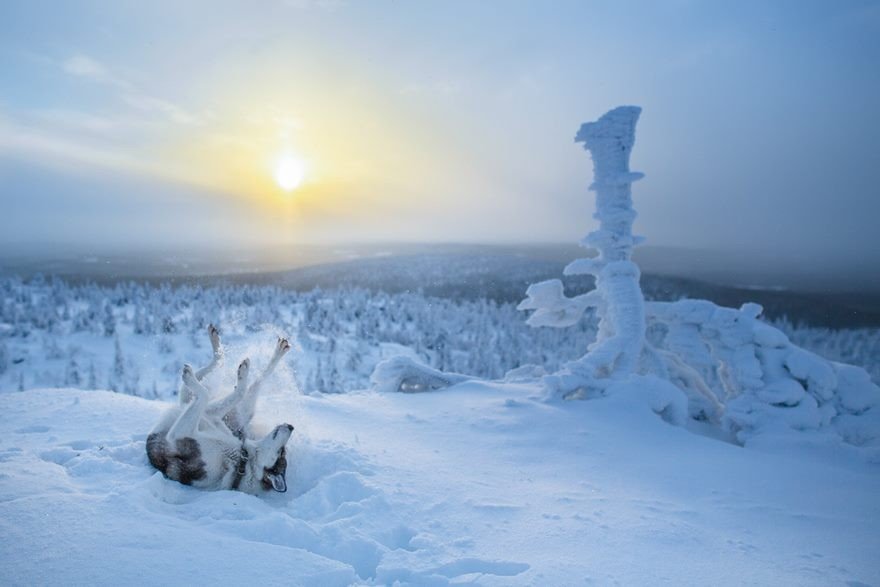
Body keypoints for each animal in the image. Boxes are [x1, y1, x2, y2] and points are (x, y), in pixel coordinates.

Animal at [146, 328, 294, 494]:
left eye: (281, 452)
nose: (291, 426)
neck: (240, 461)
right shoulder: (213, 419)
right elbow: (233, 393)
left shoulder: (179, 434)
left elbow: (205, 395)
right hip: (217, 410)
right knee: (240, 381)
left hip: (200, 407)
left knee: (210, 390)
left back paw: (194, 375)